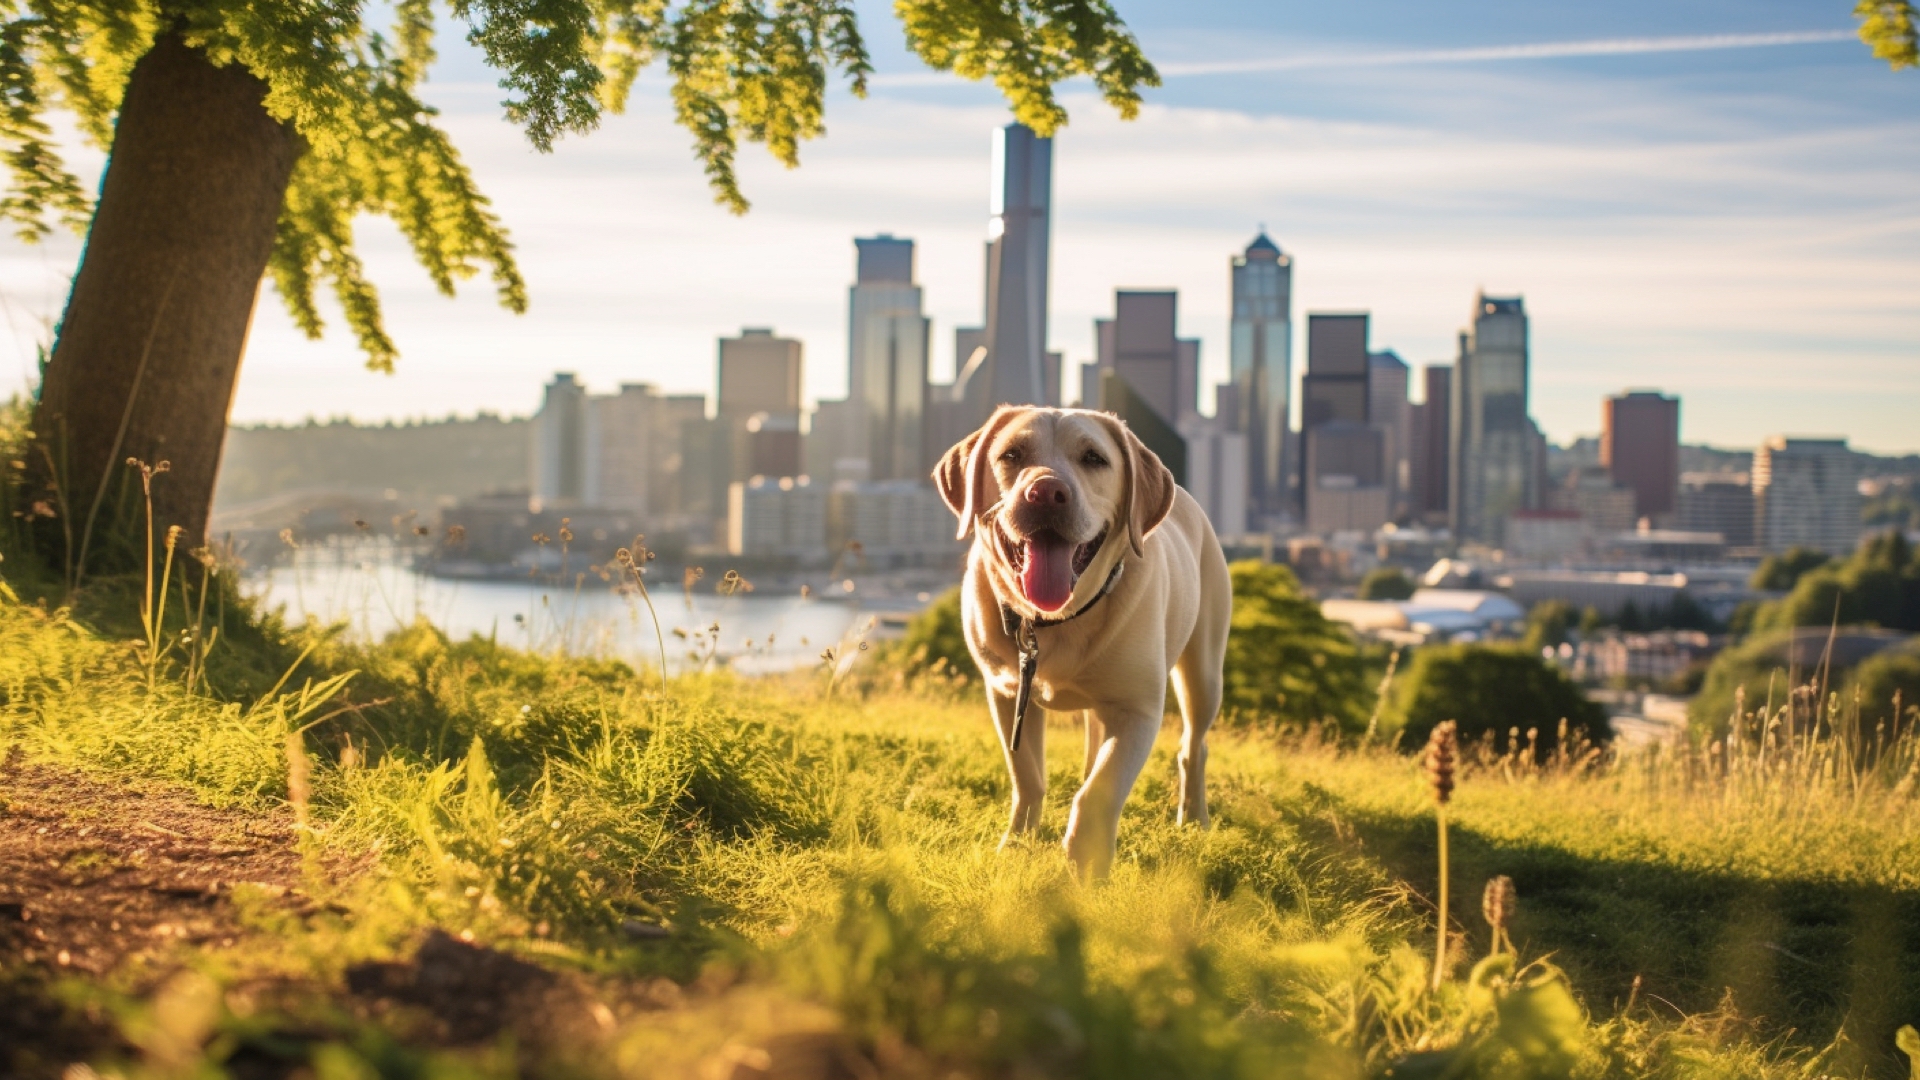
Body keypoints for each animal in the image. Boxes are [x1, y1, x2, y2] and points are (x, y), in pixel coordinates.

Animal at [936, 403, 1236, 876]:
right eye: (1011, 454)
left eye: (1094, 458)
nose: (1046, 492)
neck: (1053, 621)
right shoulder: (1006, 692)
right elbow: (1027, 774)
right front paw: (1016, 843)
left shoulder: (1137, 711)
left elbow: (1099, 791)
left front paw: (1086, 861)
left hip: (1204, 673)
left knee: (1194, 746)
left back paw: (1194, 818)